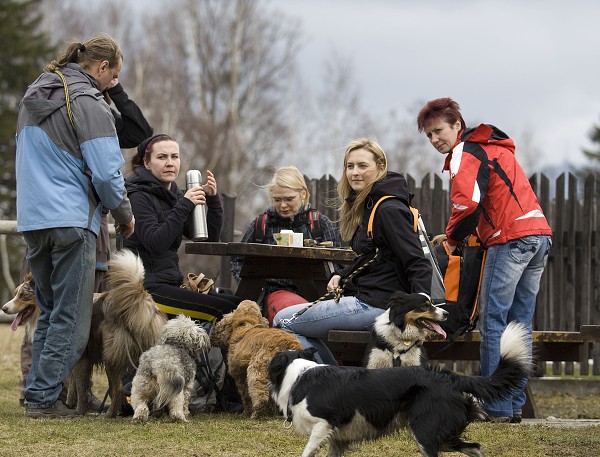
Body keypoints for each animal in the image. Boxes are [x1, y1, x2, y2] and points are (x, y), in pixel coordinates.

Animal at [270, 320, 532, 456]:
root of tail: (449, 377)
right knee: (476, 448)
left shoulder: (324, 425)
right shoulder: (339, 440)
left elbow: (307, 451)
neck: (298, 374)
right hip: (442, 434)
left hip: (425, 432)